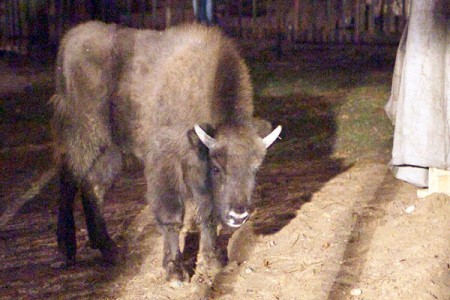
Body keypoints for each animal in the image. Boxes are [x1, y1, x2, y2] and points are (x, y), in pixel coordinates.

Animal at [52, 21, 282, 284]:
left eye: (255, 169)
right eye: (217, 167)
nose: (238, 215)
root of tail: (70, 38)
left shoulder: (196, 166)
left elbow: (207, 212)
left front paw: (213, 261)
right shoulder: (167, 161)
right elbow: (172, 214)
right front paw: (175, 270)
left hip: (111, 150)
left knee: (94, 187)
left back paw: (108, 248)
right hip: (84, 137)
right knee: (69, 181)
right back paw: (67, 250)